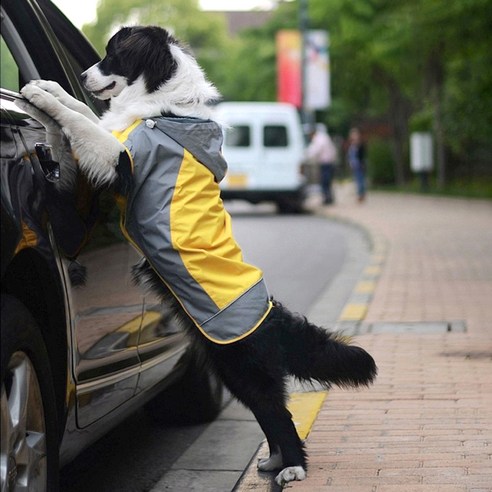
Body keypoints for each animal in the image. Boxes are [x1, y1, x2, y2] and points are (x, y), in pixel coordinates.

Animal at [17, 26, 374, 484]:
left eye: (114, 55)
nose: (81, 73)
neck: (164, 105)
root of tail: (274, 316)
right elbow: (81, 110)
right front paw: (48, 89)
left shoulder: (118, 161)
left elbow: (83, 123)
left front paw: (41, 96)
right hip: (230, 369)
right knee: (270, 413)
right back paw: (274, 460)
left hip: (243, 366)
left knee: (279, 414)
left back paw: (293, 468)